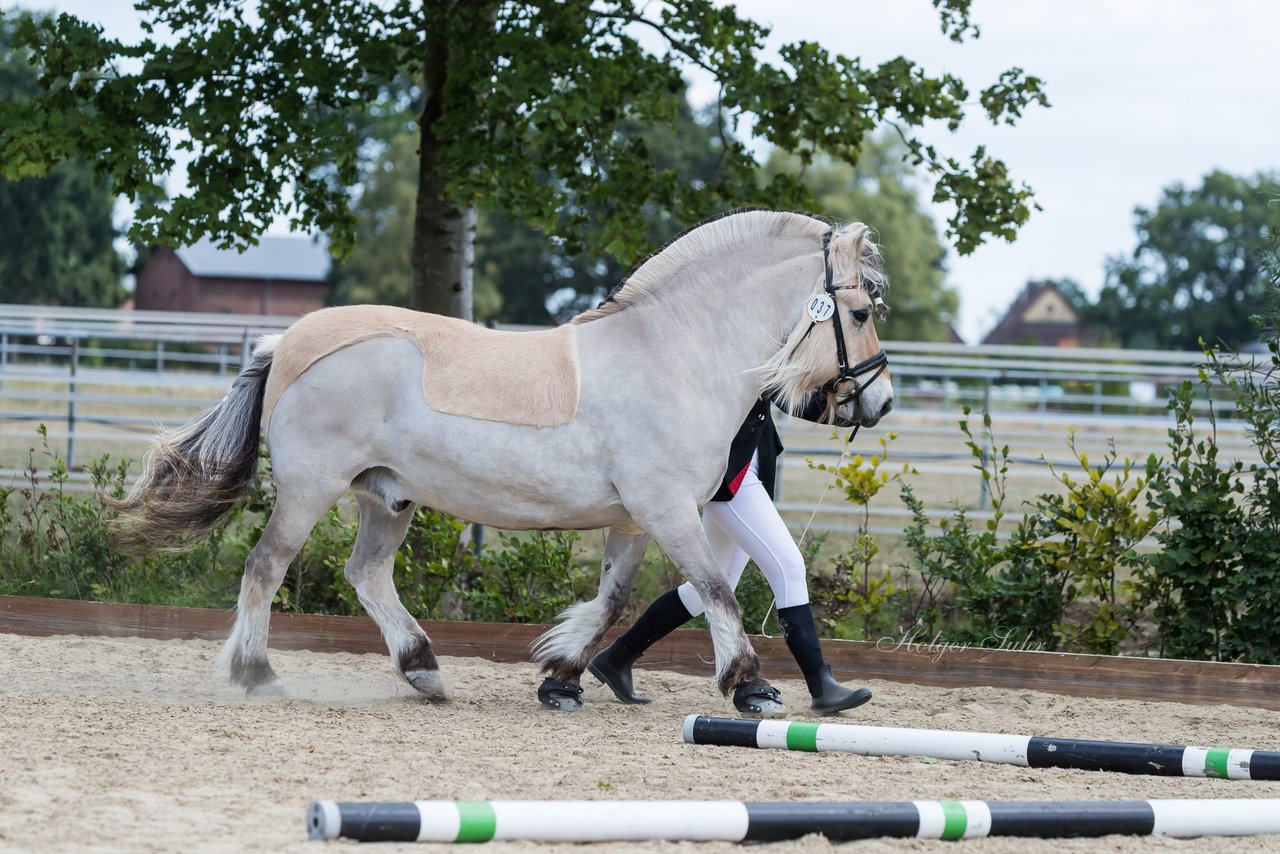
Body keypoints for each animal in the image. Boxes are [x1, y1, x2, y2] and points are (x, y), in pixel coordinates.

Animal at [107, 209, 890, 711]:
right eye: (858, 313)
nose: (877, 402)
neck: (672, 352)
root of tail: (286, 342)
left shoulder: (634, 521)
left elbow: (614, 601)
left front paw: (563, 676)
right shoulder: (666, 510)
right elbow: (717, 592)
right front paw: (750, 684)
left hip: (385, 496)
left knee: (365, 574)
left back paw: (423, 670)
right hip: (309, 489)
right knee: (266, 567)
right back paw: (257, 673)